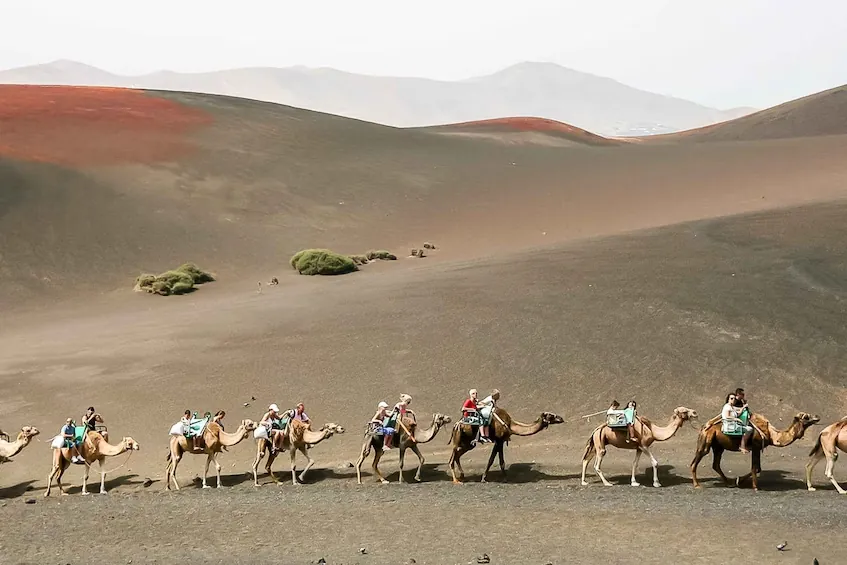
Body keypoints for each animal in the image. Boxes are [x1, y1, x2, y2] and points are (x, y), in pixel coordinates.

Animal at [691, 411, 820, 491]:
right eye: (806, 417)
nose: (817, 417)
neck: (772, 434)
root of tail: (703, 427)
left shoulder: (757, 448)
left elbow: (758, 468)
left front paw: (739, 481)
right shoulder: (756, 446)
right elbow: (755, 467)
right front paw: (754, 487)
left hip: (718, 446)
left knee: (716, 464)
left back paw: (728, 483)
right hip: (706, 441)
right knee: (696, 461)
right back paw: (697, 485)